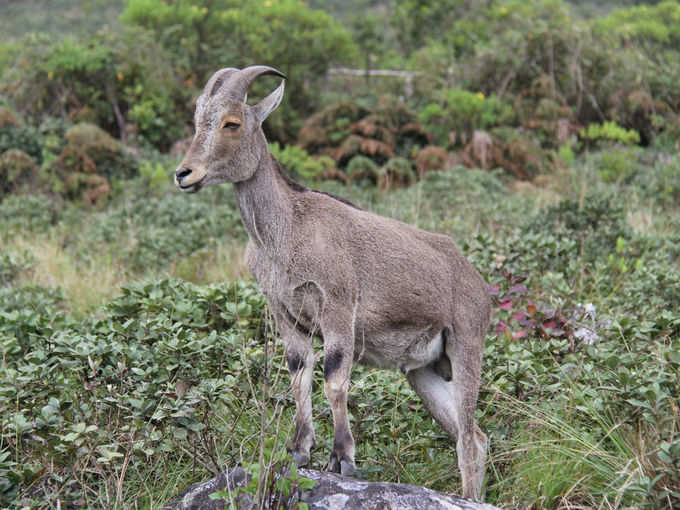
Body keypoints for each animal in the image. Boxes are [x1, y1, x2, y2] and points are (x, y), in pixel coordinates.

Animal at [175, 65, 492, 500]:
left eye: (231, 123)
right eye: (196, 123)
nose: (184, 174)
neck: (287, 231)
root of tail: (475, 278)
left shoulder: (338, 307)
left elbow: (335, 379)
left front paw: (342, 458)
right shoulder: (286, 314)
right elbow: (299, 375)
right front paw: (298, 450)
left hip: (465, 344)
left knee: (467, 438)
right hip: (424, 371)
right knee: (473, 435)